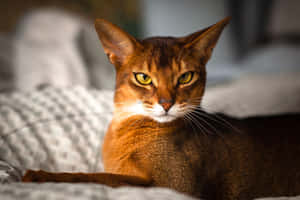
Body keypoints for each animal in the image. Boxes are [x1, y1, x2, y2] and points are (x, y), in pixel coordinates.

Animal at [21, 17, 300, 200]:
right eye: (143, 78)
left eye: (186, 77)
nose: (167, 104)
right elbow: (101, 174)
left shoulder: (174, 185)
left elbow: (99, 177)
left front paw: (39, 175)